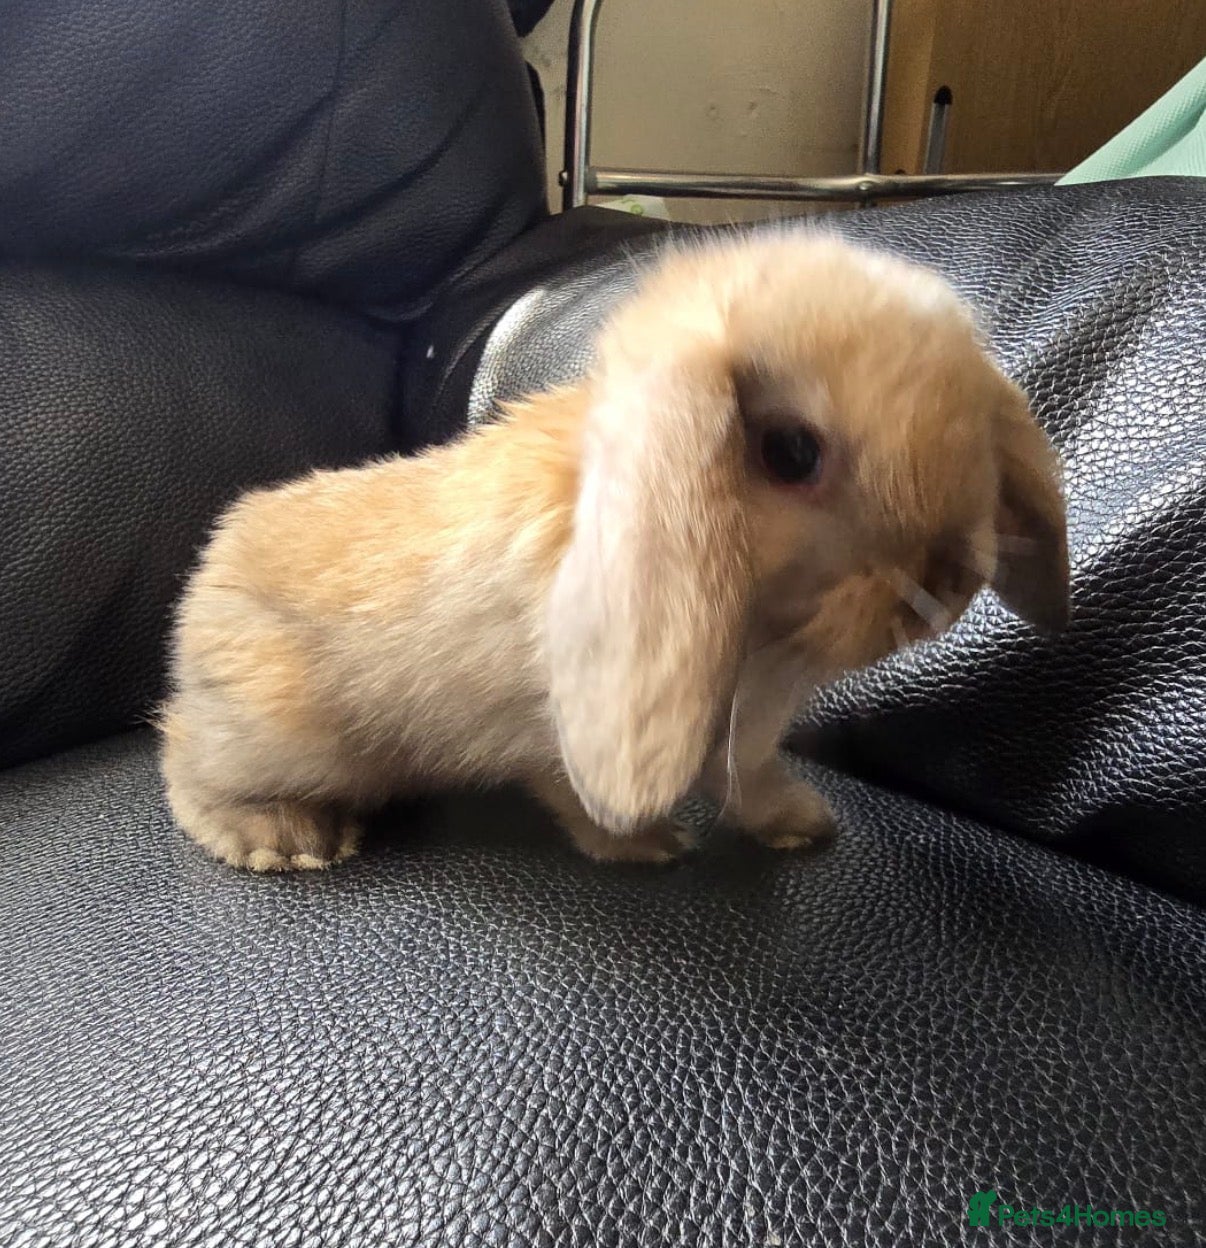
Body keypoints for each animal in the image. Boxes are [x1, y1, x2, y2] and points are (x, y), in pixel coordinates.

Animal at [160, 232, 1069, 871]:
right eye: (791, 452)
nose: (948, 582)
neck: (755, 626)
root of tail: (207, 578)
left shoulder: (744, 720)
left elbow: (747, 776)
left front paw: (801, 824)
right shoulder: (559, 720)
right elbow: (574, 790)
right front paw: (649, 847)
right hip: (283, 733)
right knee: (184, 760)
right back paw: (284, 839)